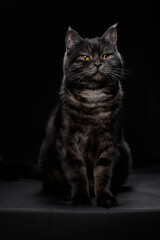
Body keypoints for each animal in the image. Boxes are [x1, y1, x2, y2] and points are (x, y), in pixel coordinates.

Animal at [38, 24, 131, 208]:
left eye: (106, 55)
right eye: (85, 57)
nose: (97, 63)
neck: (93, 97)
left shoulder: (109, 143)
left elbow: (103, 172)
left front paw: (105, 197)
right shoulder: (69, 144)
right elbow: (77, 172)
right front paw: (81, 197)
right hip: (45, 157)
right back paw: (66, 192)